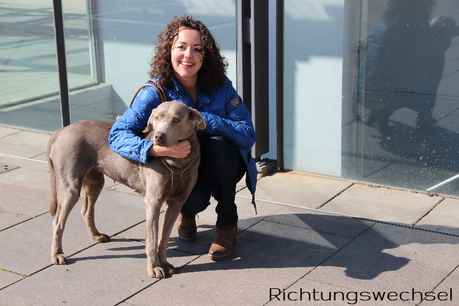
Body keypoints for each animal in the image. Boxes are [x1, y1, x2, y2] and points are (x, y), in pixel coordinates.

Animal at [46, 101, 205, 278]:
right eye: (157, 117)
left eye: (176, 119)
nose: (158, 136)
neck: (178, 162)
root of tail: (61, 130)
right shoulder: (153, 201)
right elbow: (152, 238)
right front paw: (154, 268)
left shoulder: (177, 202)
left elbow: (163, 237)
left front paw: (165, 264)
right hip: (70, 185)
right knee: (58, 222)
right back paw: (57, 254)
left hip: (94, 180)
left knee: (86, 210)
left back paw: (96, 236)